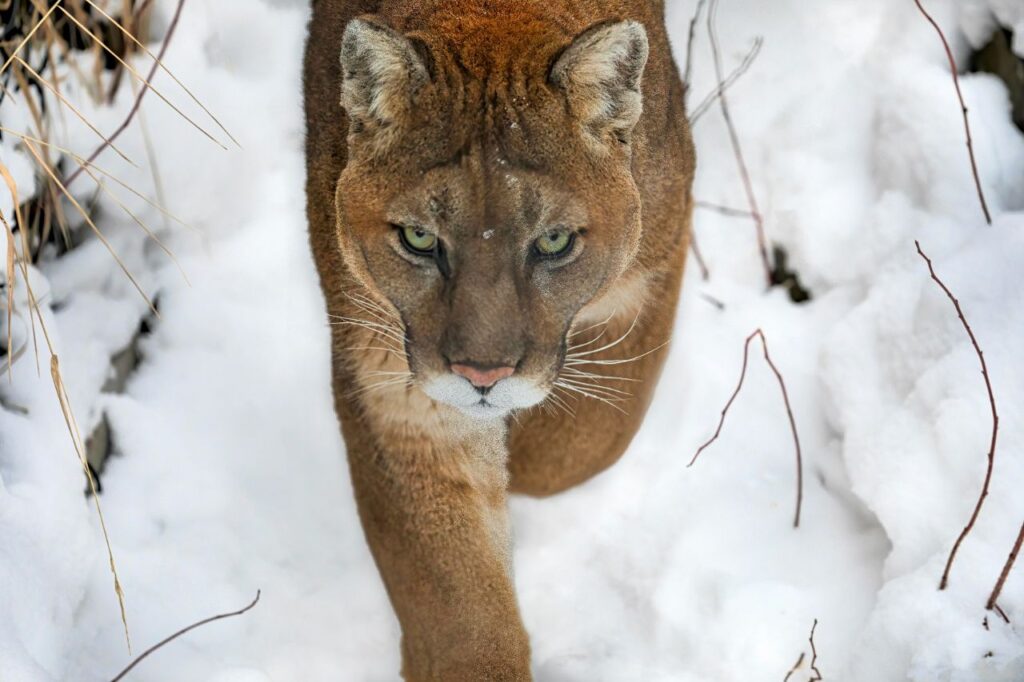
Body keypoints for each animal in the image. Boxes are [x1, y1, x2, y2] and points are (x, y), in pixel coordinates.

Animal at [304, 0, 695, 678]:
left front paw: (524, 454)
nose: (482, 377)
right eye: (419, 238)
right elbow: (460, 612)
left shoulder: (649, 270)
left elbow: (582, 442)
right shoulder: (403, 395)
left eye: (554, 242)